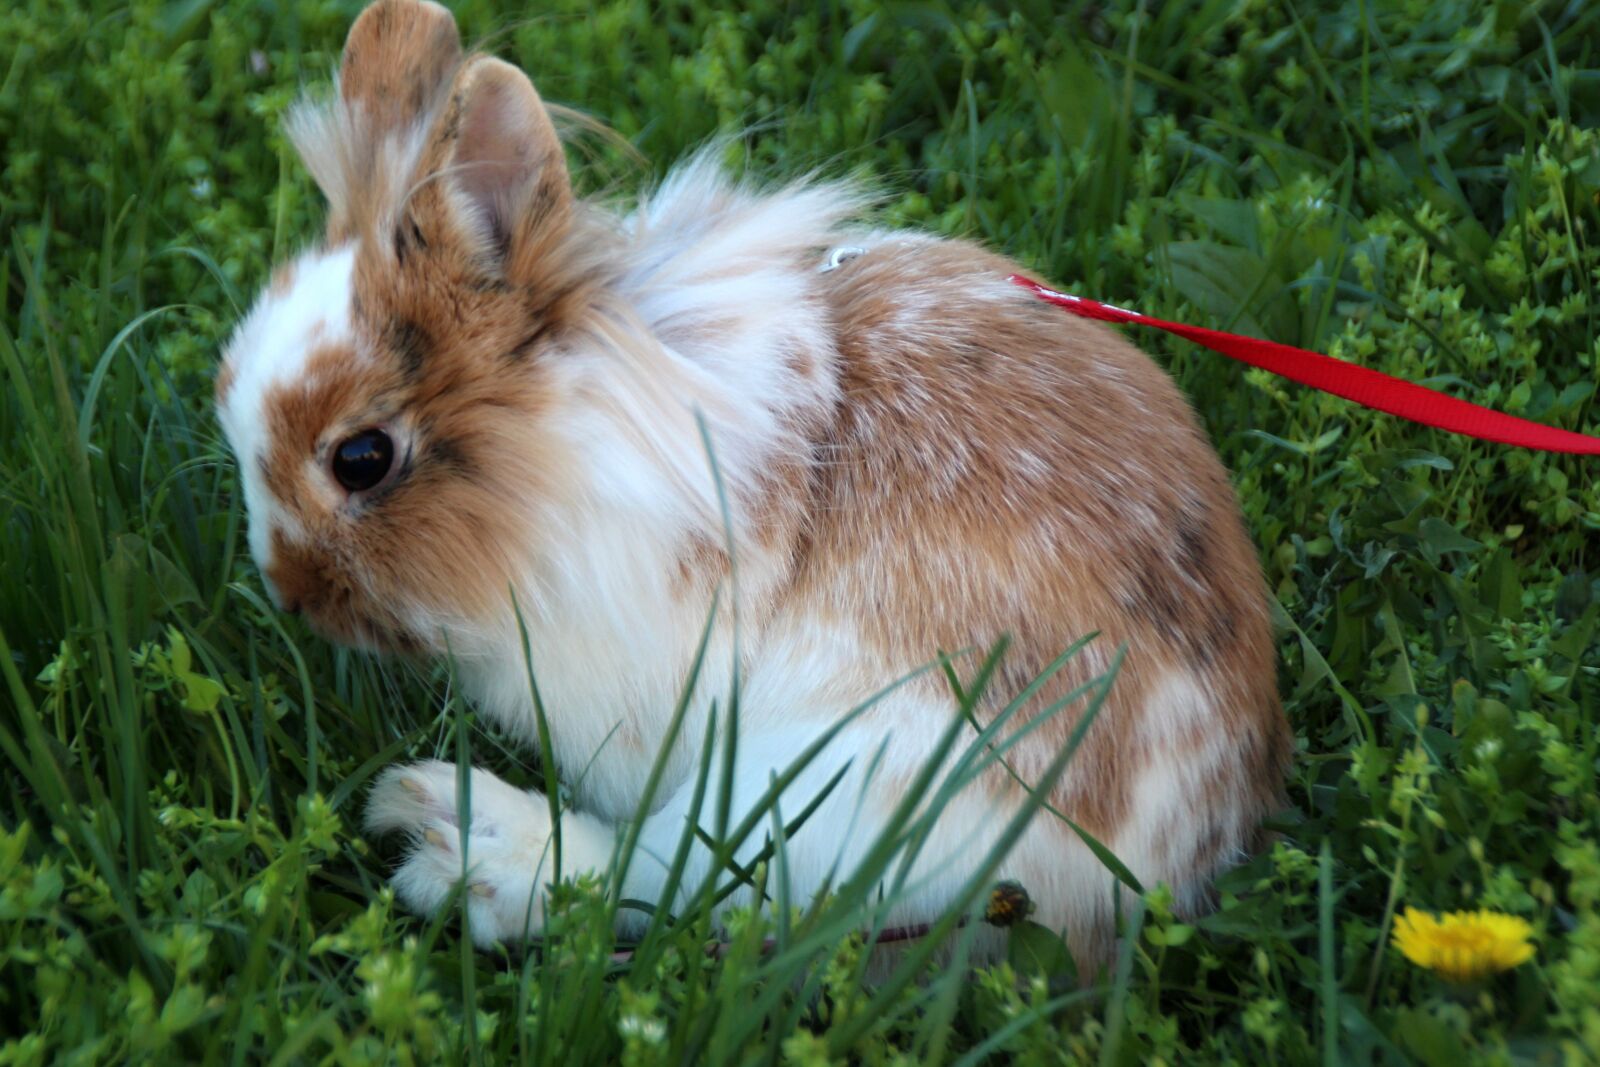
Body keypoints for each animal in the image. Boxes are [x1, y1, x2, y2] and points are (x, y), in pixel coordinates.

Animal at [214, 0, 1291, 974]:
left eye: (362, 458)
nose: (290, 594)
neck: (569, 456)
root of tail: (1176, 858)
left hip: (842, 779)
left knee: (671, 872)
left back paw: (462, 844)